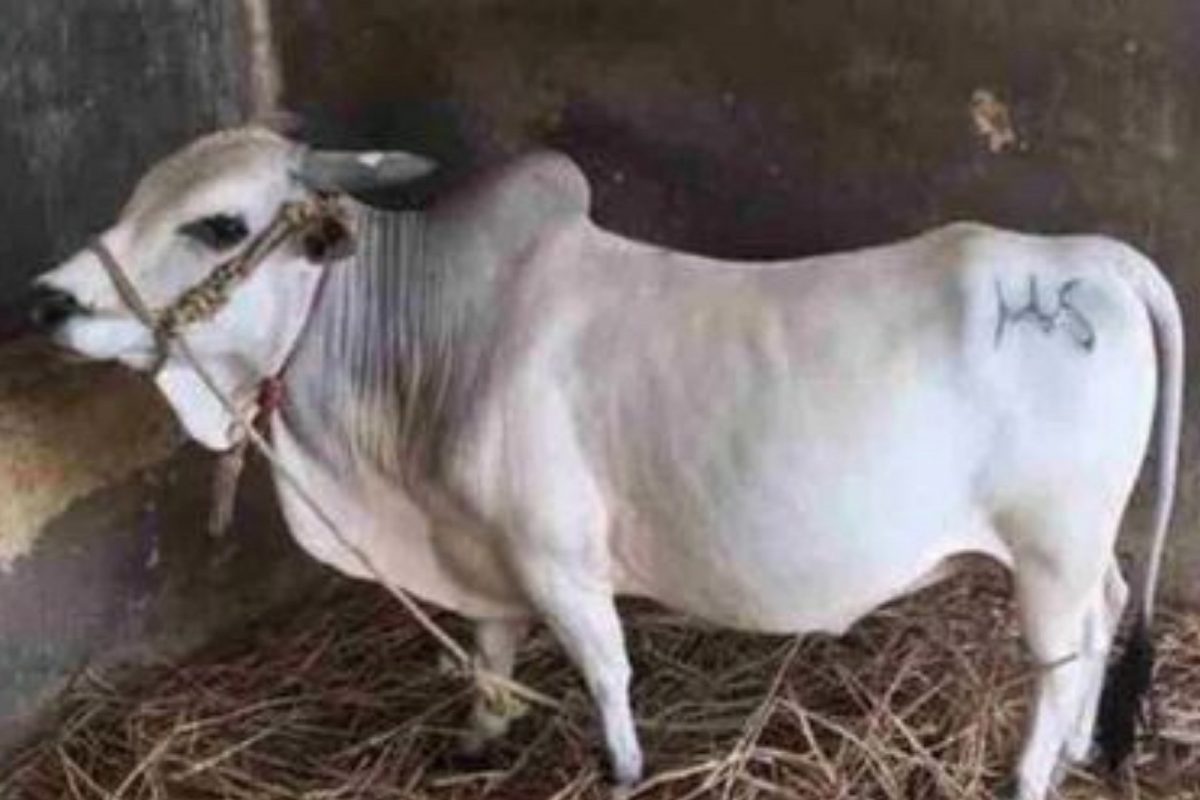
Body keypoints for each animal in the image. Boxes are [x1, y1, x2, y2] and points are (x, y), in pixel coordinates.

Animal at [19, 127, 1182, 800]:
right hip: (1081, 551)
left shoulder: (557, 555)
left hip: (1050, 547)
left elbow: (604, 670)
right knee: (1103, 618)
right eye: (138, 192)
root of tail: (1092, 260)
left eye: (220, 225)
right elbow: (490, 650)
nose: (46, 298)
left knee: (1059, 660)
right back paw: (1081, 753)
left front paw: (619, 770)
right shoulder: (478, 555)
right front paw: (479, 736)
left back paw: (1033, 771)